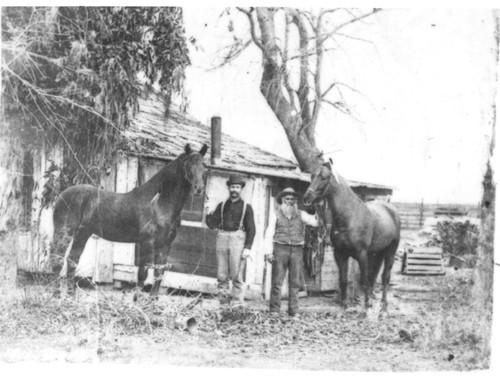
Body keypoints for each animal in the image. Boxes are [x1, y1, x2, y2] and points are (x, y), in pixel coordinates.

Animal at [300, 162, 402, 314]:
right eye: (312, 176)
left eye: (324, 177)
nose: (307, 198)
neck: (350, 216)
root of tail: (392, 210)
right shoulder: (340, 254)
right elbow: (343, 280)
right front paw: (344, 305)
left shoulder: (362, 255)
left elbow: (364, 280)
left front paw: (366, 306)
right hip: (376, 253)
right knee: (374, 275)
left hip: (390, 250)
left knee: (385, 277)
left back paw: (383, 306)